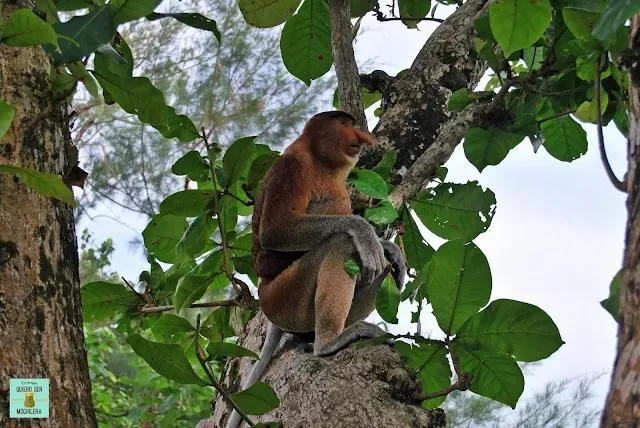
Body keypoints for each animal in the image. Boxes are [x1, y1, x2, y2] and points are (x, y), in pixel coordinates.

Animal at [226, 111, 406, 428]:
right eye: (345, 125)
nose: (361, 138)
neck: (321, 162)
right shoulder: (292, 169)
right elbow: (276, 231)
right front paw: (366, 233)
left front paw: (389, 248)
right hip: (285, 297)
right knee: (340, 243)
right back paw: (329, 342)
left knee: (377, 267)